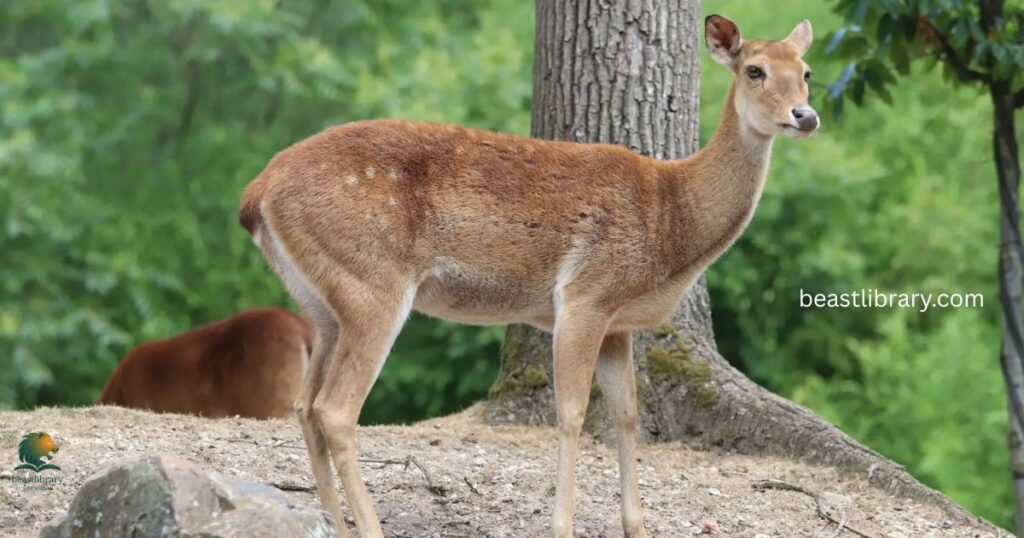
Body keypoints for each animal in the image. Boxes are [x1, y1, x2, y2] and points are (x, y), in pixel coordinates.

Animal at [238, 14, 816, 538]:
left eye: (806, 71)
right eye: (755, 70)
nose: (806, 115)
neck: (673, 220)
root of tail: (255, 193)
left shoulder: (618, 323)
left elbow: (628, 414)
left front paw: (636, 525)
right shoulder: (585, 295)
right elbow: (573, 413)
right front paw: (562, 525)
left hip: (320, 300)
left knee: (304, 405)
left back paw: (330, 522)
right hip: (371, 282)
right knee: (335, 409)